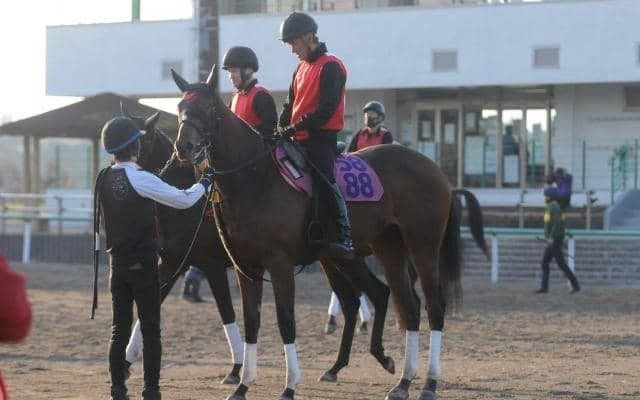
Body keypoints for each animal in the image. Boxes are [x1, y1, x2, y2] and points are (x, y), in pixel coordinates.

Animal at [170, 65, 487, 400]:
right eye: (180, 107)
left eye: (209, 108)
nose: (184, 148)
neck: (255, 179)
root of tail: (436, 170)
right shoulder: (247, 268)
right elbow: (252, 322)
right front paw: (243, 385)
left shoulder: (279, 264)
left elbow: (286, 321)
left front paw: (289, 386)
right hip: (384, 249)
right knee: (405, 305)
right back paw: (401, 381)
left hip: (422, 246)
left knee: (433, 307)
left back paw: (429, 382)